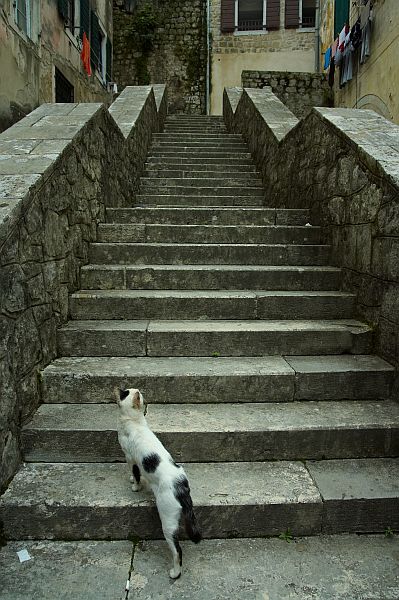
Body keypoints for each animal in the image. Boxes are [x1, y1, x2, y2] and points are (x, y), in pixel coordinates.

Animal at [117, 386, 202, 580]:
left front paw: (135, 486)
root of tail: (181, 485)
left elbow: (135, 474)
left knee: (177, 551)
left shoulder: (130, 458)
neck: (136, 422)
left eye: (124, 392)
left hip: (167, 522)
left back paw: (175, 573)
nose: (120, 389)